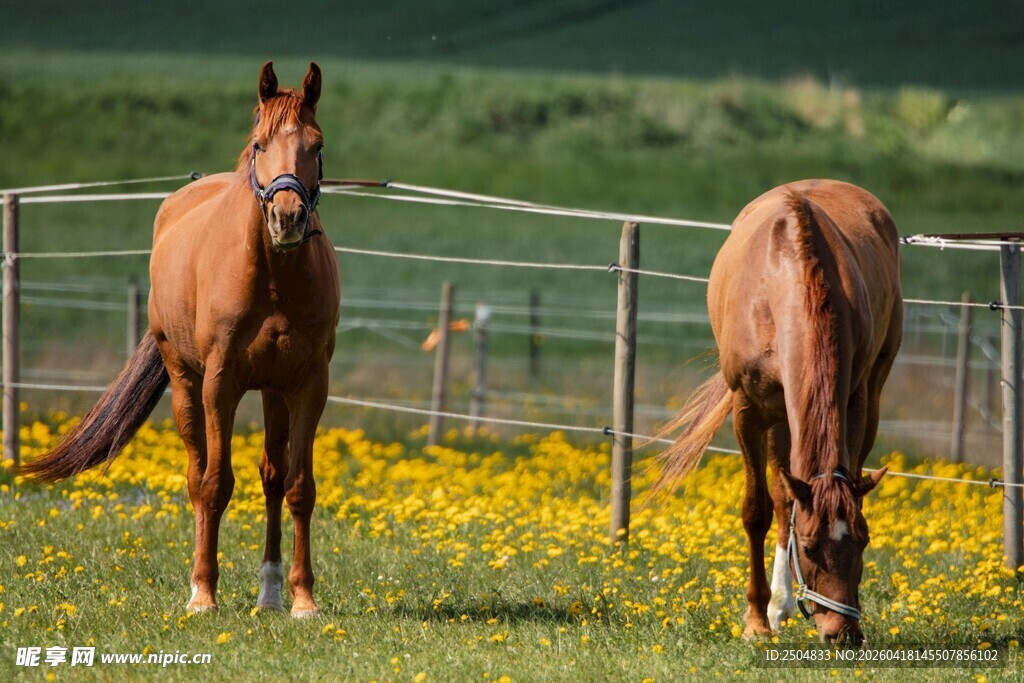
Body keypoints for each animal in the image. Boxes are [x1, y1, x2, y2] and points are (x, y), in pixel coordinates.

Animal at [21, 62, 340, 617]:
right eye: (259, 144)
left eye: (316, 146)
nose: (287, 218)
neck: (273, 278)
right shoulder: (220, 384)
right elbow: (214, 484)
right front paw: (204, 594)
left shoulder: (308, 385)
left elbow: (299, 487)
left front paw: (303, 600)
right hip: (186, 382)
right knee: (197, 475)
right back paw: (200, 586)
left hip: (274, 392)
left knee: (273, 477)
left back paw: (271, 591)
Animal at [654, 180, 902, 644]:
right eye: (808, 548)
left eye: (863, 541)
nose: (842, 632)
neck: (783, 283)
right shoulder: (749, 410)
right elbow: (758, 510)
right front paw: (755, 621)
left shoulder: (853, 401)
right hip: (779, 419)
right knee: (784, 501)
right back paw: (775, 608)